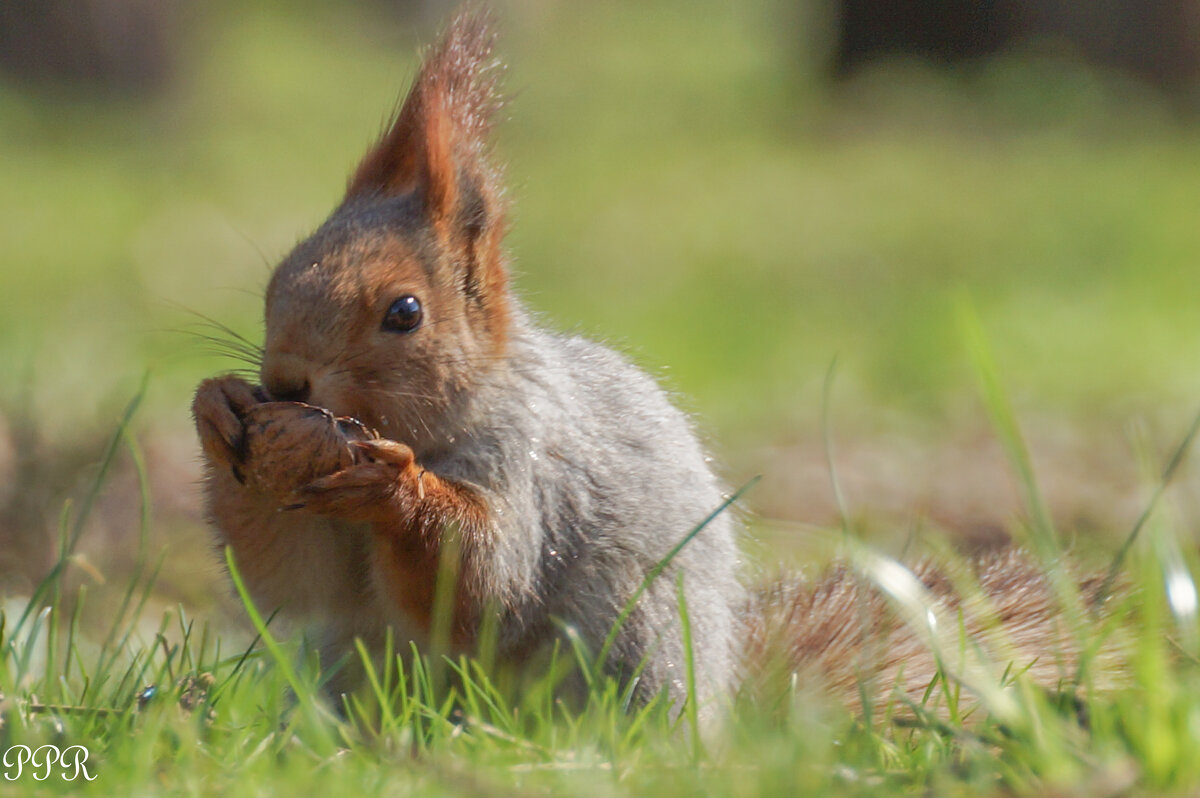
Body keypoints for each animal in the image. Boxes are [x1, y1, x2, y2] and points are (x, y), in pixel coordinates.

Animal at [192, 7, 1099, 715]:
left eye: (404, 313)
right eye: (279, 276)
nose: (286, 382)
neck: (457, 412)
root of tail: (722, 714)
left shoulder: (531, 469)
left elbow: (481, 588)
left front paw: (392, 483)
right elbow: (292, 579)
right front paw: (216, 412)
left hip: (635, 639)